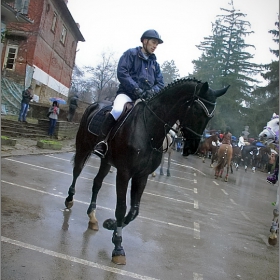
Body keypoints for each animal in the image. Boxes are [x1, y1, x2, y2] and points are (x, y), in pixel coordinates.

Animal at [64, 77, 229, 264]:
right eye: (197, 110)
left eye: (211, 116)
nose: (193, 148)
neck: (148, 129)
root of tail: (94, 105)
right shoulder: (124, 173)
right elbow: (121, 208)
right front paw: (118, 247)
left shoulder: (141, 176)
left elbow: (134, 211)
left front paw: (112, 226)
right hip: (83, 148)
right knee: (77, 172)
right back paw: (69, 200)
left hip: (106, 162)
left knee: (97, 183)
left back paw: (92, 217)